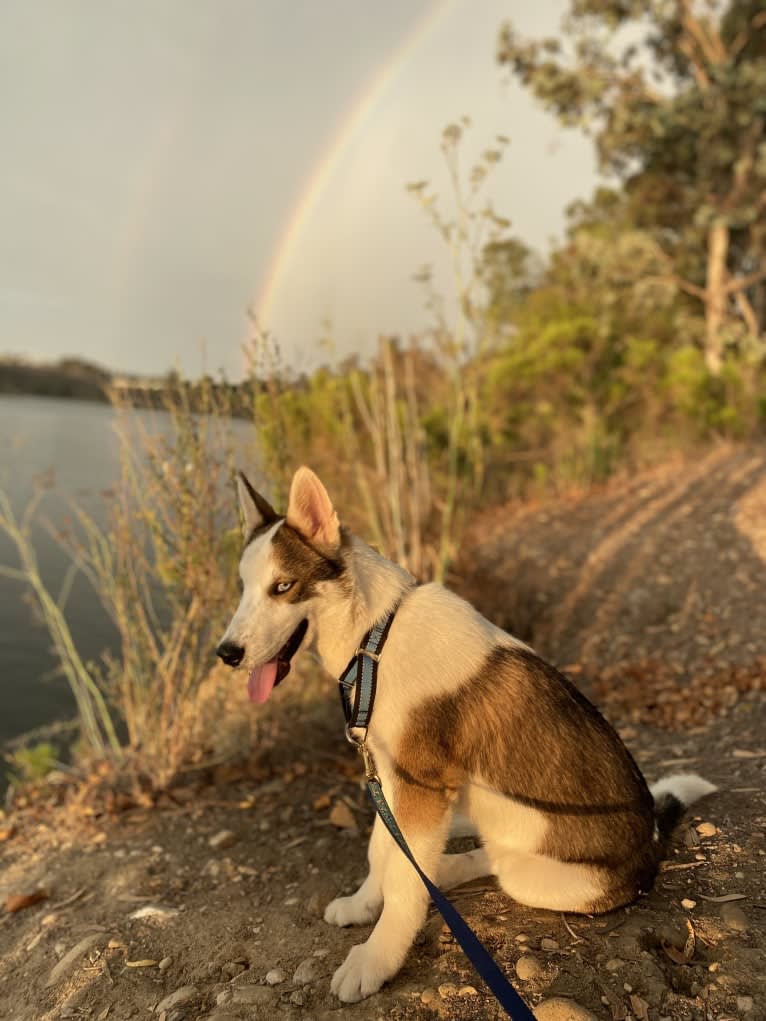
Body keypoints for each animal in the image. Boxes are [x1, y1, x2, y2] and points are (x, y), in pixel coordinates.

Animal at [217, 467, 719, 1004]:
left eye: (283, 586)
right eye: (244, 588)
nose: (225, 653)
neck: (375, 639)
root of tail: (654, 833)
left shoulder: (417, 785)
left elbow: (404, 880)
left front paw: (376, 958)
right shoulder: (393, 776)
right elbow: (383, 848)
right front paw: (363, 902)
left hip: (535, 873)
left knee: (495, 864)